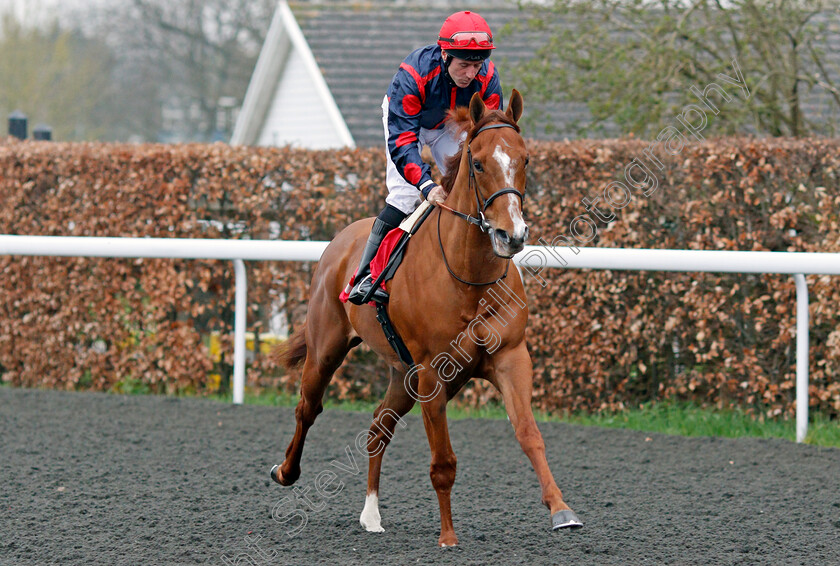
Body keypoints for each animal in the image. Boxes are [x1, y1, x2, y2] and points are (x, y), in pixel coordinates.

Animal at [272, 91, 580, 548]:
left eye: (525, 159)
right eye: (478, 163)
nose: (512, 235)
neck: (469, 276)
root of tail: (341, 240)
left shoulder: (510, 357)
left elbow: (529, 433)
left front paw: (561, 510)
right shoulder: (433, 370)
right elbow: (443, 462)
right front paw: (448, 535)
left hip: (403, 373)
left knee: (378, 426)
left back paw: (371, 514)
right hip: (327, 348)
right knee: (307, 407)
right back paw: (286, 472)